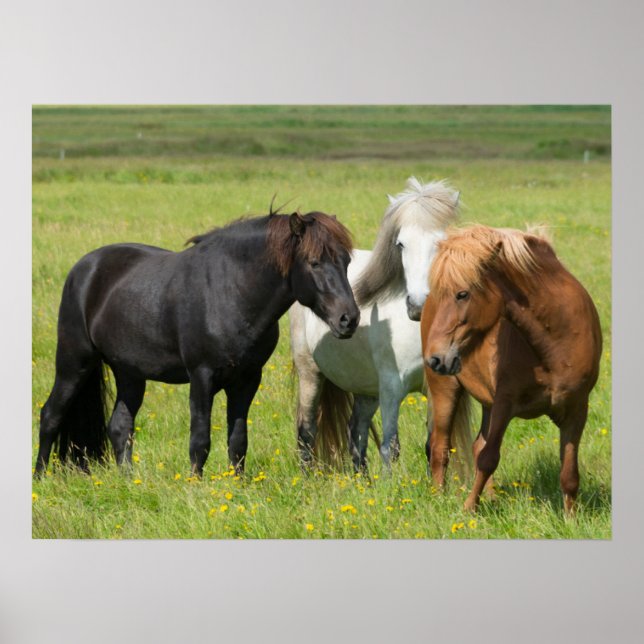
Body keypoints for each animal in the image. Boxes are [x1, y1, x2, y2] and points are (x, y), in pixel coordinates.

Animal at [34, 210, 360, 478]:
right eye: (314, 262)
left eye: (346, 261)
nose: (349, 319)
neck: (231, 292)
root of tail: (83, 268)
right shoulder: (202, 376)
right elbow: (200, 439)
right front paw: (197, 484)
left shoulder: (247, 380)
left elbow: (238, 439)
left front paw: (236, 485)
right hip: (74, 363)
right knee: (51, 415)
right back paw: (40, 477)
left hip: (129, 373)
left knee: (119, 426)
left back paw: (128, 481)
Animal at [290, 178, 463, 472]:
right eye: (401, 244)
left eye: (441, 243)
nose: (418, 305)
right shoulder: (392, 388)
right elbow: (390, 447)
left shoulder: (435, 388)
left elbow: (434, 447)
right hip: (310, 373)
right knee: (306, 431)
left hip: (366, 389)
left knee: (355, 432)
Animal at [421, 225, 602, 514]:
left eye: (462, 294)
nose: (435, 358)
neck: (555, 343)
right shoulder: (505, 403)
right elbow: (488, 458)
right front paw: (468, 510)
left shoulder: (576, 409)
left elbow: (569, 474)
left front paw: (571, 518)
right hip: (445, 390)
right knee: (440, 447)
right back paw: (438, 499)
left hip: (487, 402)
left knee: (474, 445)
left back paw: (493, 499)